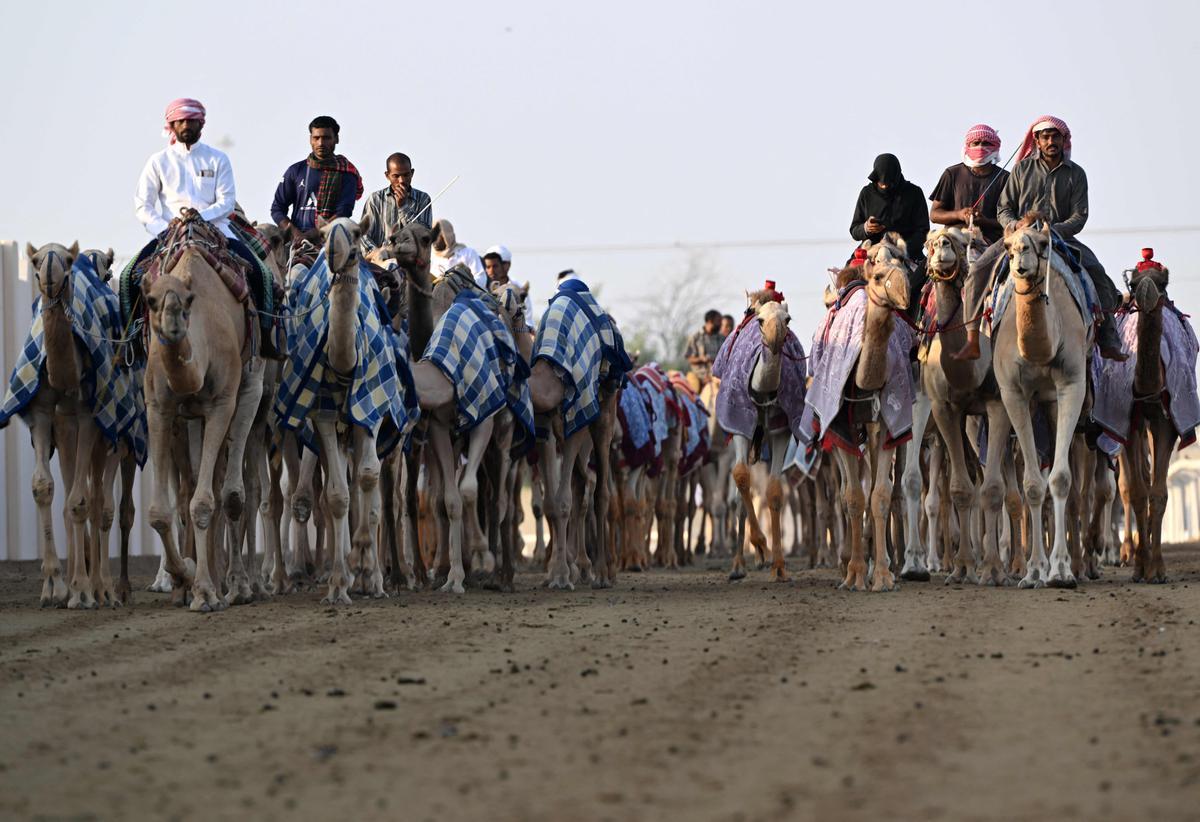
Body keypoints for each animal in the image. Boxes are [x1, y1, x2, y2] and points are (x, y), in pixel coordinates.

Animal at [142, 211, 265, 609]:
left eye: (189, 298)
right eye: (150, 300)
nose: (173, 323)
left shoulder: (220, 404)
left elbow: (206, 502)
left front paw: (207, 591)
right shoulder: (159, 408)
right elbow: (160, 512)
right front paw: (183, 576)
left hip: (252, 392)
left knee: (233, 493)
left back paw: (238, 585)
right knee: (198, 482)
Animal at [988, 220, 1094, 585]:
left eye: (1043, 243)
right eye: (1008, 247)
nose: (1021, 260)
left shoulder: (1072, 384)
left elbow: (1059, 479)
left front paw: (1060, 570)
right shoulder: (1012, 393)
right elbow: (1032, 485)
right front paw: (1034, 570)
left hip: (1052, 403)